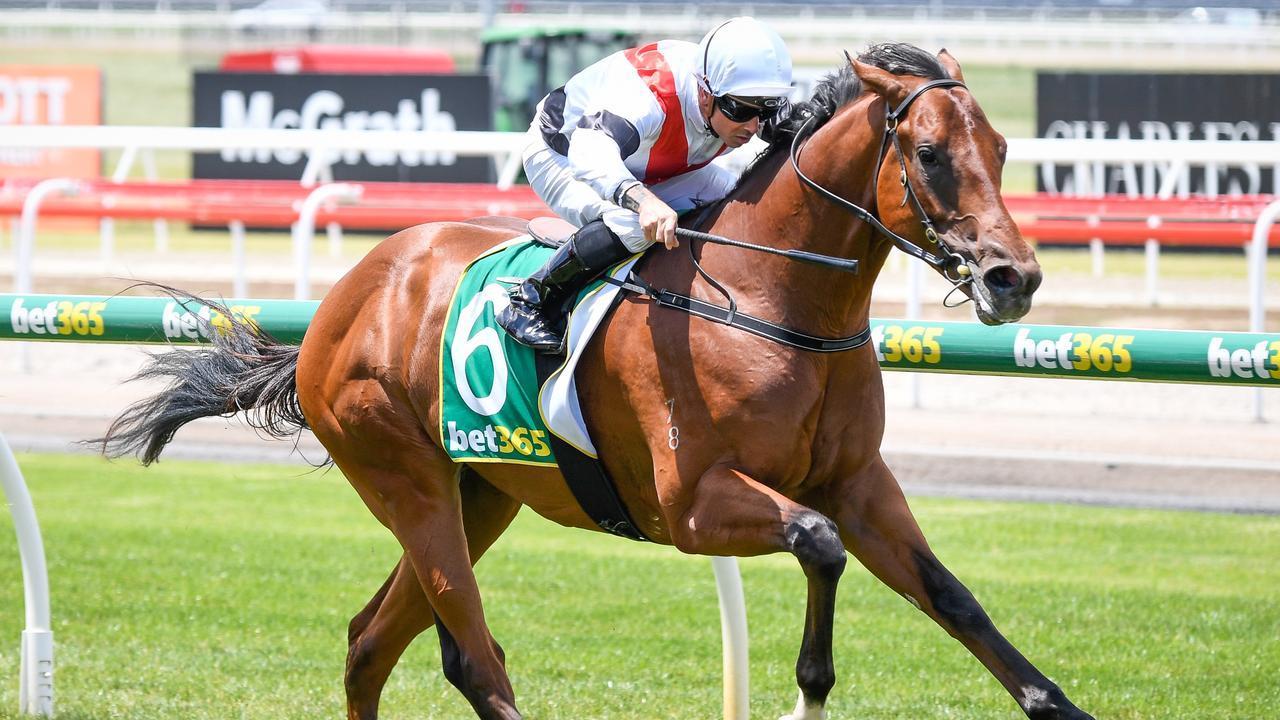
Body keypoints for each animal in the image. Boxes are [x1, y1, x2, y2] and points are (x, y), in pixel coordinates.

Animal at [104, 44, 1095, 717]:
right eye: (928, 154)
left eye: (1002, 148)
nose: (1013, 277)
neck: (774, 299)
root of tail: (345, 297)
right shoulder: (691, 505)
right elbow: (818, 544)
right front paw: (810, 686)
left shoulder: (860, 483)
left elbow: (953, 597)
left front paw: (1057, 700)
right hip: (404, 480)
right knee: (472, 656)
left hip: (481, 490)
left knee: (369, 643)